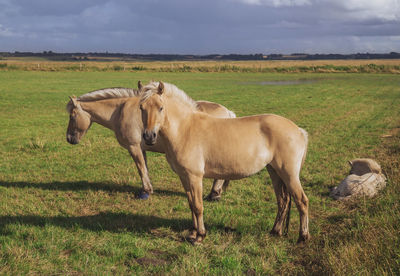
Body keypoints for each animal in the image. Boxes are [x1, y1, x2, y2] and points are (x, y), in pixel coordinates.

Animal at [65, 82, 234, 201]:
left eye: (72, 115)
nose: (69, 138)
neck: (120, 110)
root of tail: (228, 113)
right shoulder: (142, 148)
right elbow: (145, 168)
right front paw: (147, 189)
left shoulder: (134, 147)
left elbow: (141, 169)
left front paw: (145, 192)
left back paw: (214, 195)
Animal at [139, 81, 310, 244]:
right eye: (141, 107)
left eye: (161, 108)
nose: (149, 136)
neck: (185, 129)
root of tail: (299, 130)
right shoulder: (184, 177)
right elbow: (191, 204)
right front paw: (192, 233)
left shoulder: (195, 177)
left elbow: (198, 206)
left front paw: (200, 236)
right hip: (274, 171)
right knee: (283, 201)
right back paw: (275, 231)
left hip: (289, 174)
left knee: (302, 201)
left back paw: (303, 237)